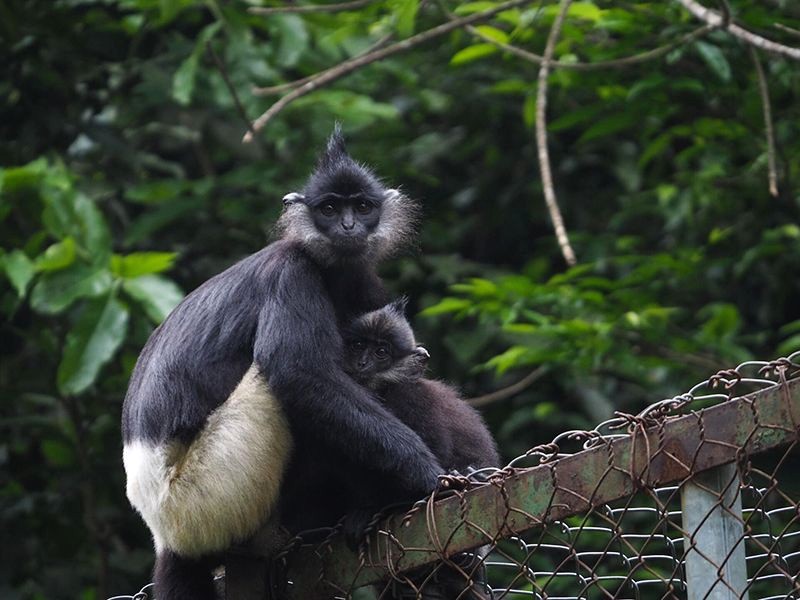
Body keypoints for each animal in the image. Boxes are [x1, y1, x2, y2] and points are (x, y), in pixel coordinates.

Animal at [123, 129, 444, 600]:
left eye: (362, 207)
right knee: (276, 385)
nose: (348, 226)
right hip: (212, 491)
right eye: (329, 208)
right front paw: (426, 473)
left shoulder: (362, 280)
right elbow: (299, 375)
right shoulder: (291, 274)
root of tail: (164, 533)